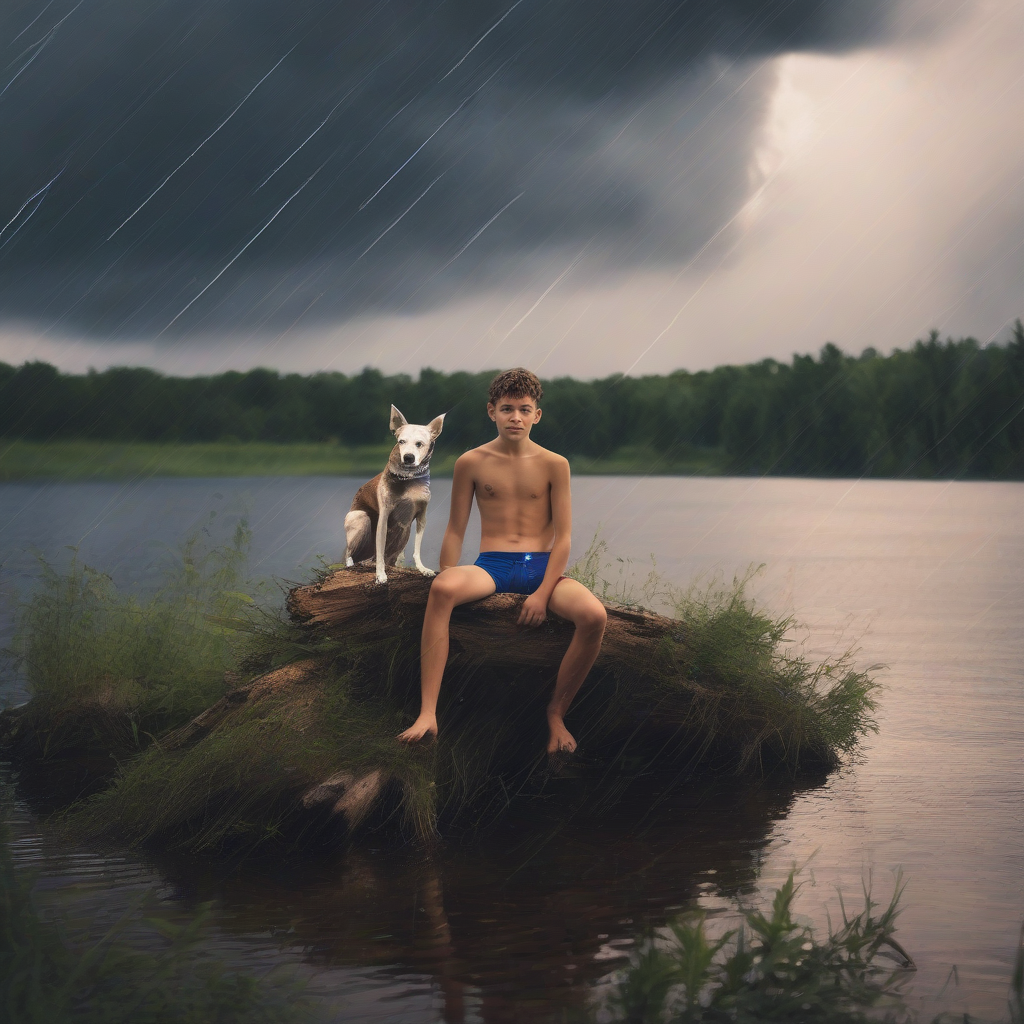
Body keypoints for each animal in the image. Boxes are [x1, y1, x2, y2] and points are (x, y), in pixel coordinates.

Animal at [344, 405, 444, 585]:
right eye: (401, 442)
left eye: (419, 444)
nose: (408, 457)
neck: (409, 478)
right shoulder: (384, 518)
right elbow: (380, 550)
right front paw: (380, 575)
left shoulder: (421, 517)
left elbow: (416, 549)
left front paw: (423, 569)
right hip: (361, 519)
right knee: (349, 552)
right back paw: (352, 564)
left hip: (403, 531)